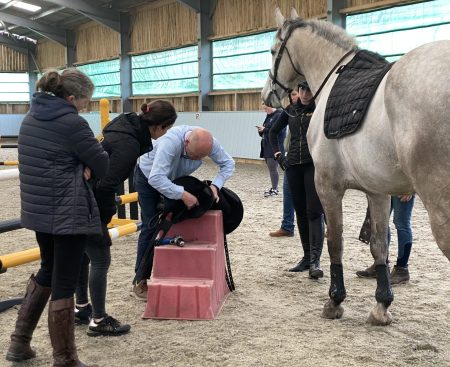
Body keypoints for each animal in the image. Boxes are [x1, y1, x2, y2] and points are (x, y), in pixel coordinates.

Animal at [262, 7, 450, 324]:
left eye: (274, 50)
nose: (267, 96)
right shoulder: (378, 192)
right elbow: (379, 245)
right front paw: (382, 305)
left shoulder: (327, 186)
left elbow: (334, 240)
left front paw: (335, 301)